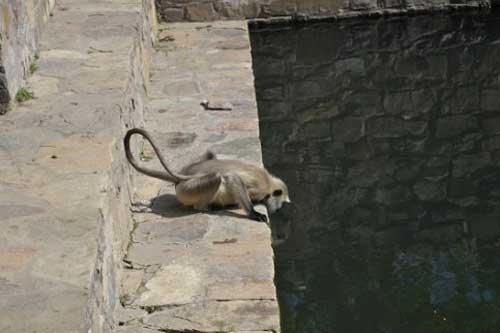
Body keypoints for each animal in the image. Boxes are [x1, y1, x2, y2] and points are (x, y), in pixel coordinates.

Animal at [122, 128, 292, 222]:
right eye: (279, 204)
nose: (276, 210)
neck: (269, 183)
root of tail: (179, 178)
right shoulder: (259, 185)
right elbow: (233, 179)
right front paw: (253, 213)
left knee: (211, 154)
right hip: (188, 190)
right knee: (216, 177)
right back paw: (208, 207)